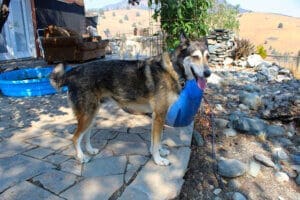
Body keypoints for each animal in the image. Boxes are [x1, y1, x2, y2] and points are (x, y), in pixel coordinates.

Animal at [50, 34, 211, 166]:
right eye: (195, 56)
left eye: (208, 57)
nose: (208, 73)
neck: (174, 68)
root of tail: (73, 71)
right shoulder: (159, 115)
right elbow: (157, 140)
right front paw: (158, 160)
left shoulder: (157, 116)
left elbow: (156, 141)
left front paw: (159, 152)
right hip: (87, 115)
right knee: (75, 137)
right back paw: (81, 157)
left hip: (91, 114)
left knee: (86, 135)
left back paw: (90, 150)